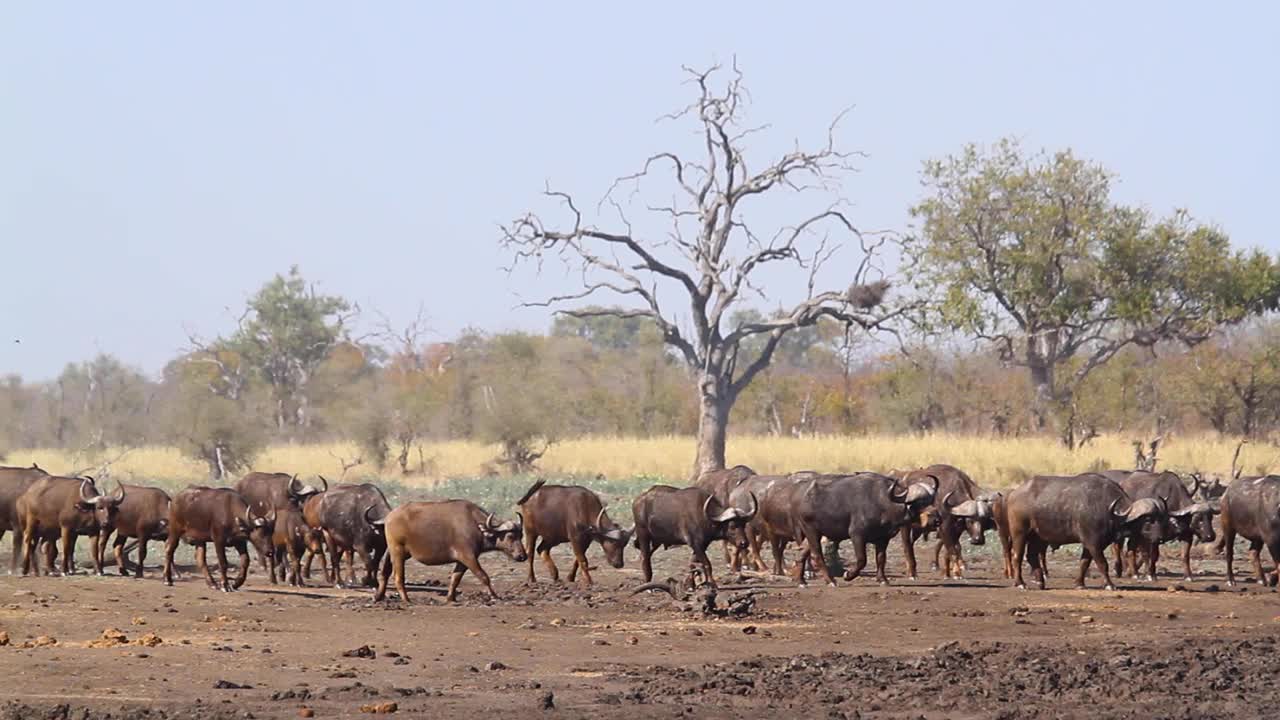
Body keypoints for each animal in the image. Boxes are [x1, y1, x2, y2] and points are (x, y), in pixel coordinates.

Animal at [373, 499, 527, 599]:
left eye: (521, 535)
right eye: (510, 536)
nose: (522, 556)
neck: (475, 525)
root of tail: (389, 517)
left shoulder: (462, 560)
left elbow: (455, 579)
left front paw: (450, 598)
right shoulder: (468, 556)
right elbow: (483, 576)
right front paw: (495, 596)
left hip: (395, 552)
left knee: (385, 572)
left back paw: (379, 596)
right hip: (397, 551)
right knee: (398, 577)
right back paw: (406, 599)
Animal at [783, 471, 936, 584]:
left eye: (931, 501)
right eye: (918, 503)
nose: (936, 519)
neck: (882, 503)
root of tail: (797, 496)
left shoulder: (883, 538)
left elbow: (881, 558)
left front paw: (883, 579)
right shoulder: (857, 535)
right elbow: (862, 560)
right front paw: (848, 575)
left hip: (816, 534)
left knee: (802, 554)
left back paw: (801, 580)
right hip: (811, 531)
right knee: (817, 555)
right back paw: (830, 581)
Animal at [1003, 471, 1172, 589]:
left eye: (1161, 518)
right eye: (1148, 520)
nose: (1160, 538)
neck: (1109, 512)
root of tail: (1014, 493)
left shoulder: (1090, 544)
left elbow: (1084, 563)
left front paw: (1079, 583)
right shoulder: (1093, 543)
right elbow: (1102, 563)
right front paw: (1110, 584)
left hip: (1038, 538)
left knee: (1032, 556)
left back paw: (1040, 582)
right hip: (1020, 533)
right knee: (1017, 557)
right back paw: (1020, 583)